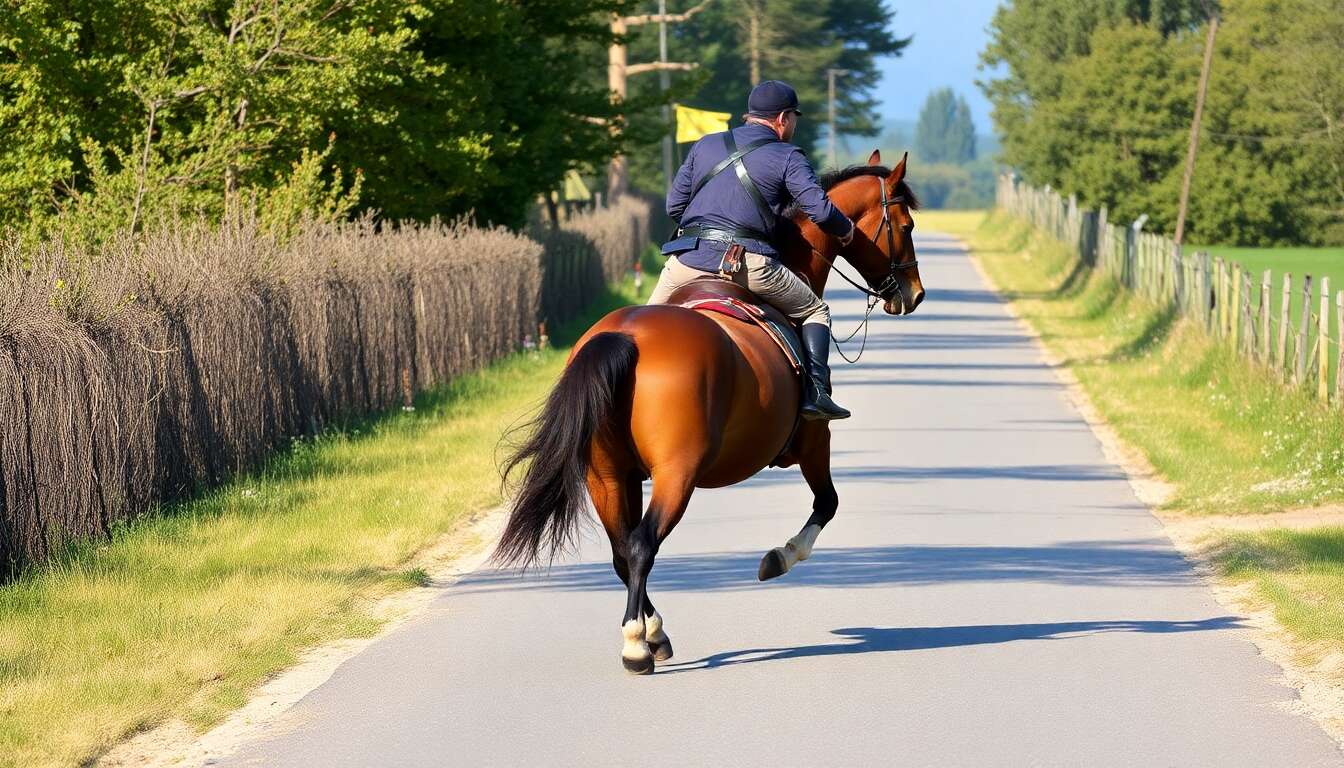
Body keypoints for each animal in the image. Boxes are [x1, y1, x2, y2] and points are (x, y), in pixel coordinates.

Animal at [495, 150, 924, 675]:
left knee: (622, 551)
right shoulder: (814, 442)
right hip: (676, 474)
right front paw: (780, 557)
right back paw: (637, 644)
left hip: (607, 476)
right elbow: (828, 503)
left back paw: (654, 632)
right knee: (641, 545)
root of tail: (627, 335)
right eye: (904, 225)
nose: (914, 293)